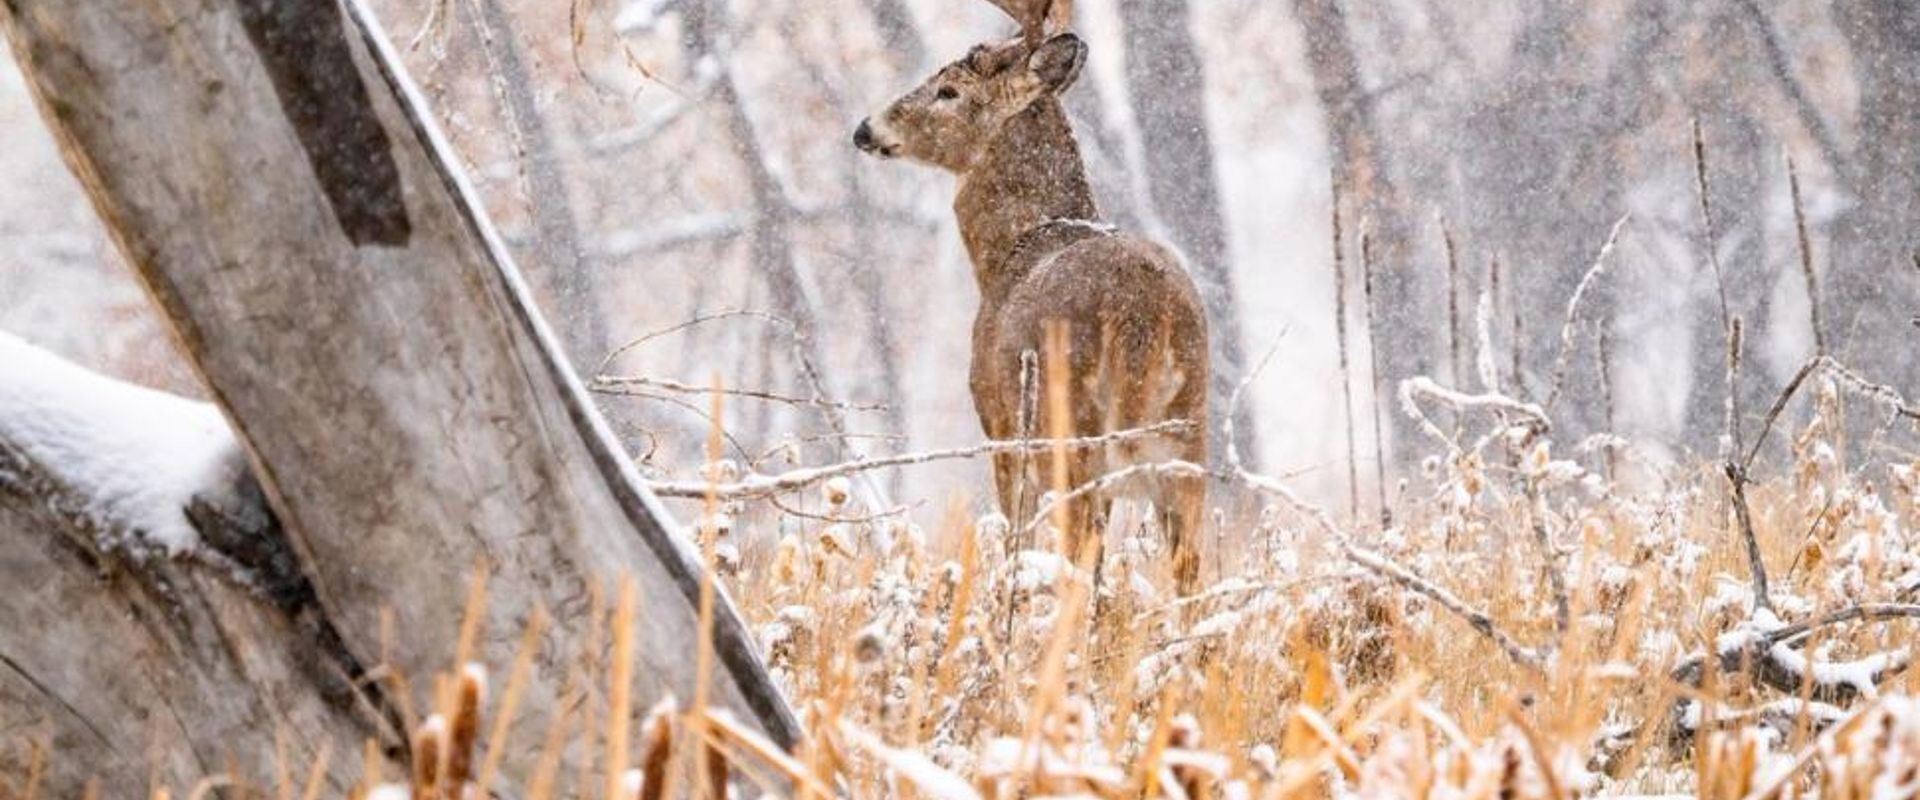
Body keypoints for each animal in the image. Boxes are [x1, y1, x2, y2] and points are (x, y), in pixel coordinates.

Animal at [853, 0, 1210, 594]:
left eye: (949, 90)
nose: (866, 128)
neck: (1011, 250)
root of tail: (1143, 319)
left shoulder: (998, 425)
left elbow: (1012, 538)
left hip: (1073, 434)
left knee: (1083, 565)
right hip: (1187, 446)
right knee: (1191, 577)